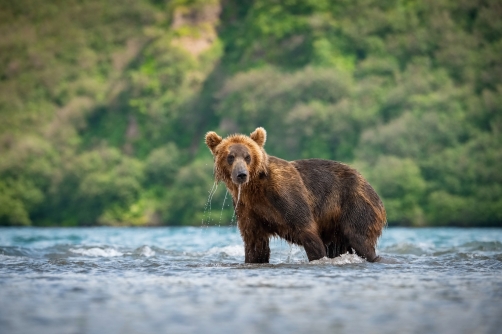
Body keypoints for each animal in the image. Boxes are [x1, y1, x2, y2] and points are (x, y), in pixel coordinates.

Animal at [206, 126, 386, 262]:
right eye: (230, 156)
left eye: (247, 156)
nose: (241, 174)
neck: (255, 188)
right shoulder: (247, 208)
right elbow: (255, 244)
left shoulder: (286, 195)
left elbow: (307, 231)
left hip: (355, 205)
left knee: (360, 239)